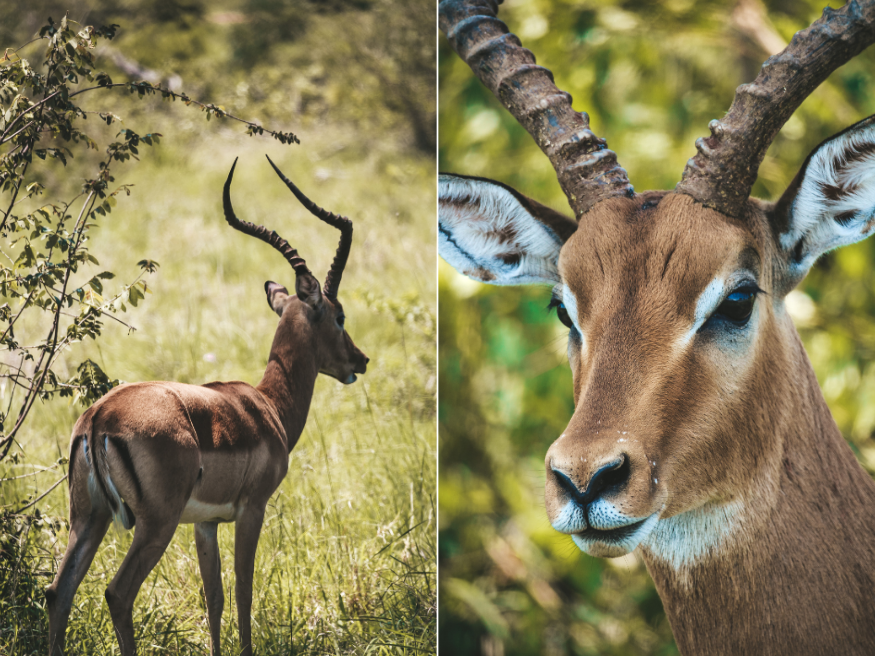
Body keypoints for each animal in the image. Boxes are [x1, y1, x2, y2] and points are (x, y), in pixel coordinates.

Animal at [44, 156, 369, 656]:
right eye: (339, 315)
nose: (360, 360)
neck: (266, 407)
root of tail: (99, 417)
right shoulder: (252, 509)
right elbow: (243, 589)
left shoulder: (206, 523)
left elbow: (213, 596)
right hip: (154, 524)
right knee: (117, 593)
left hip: (89, 516)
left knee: (59, 592)